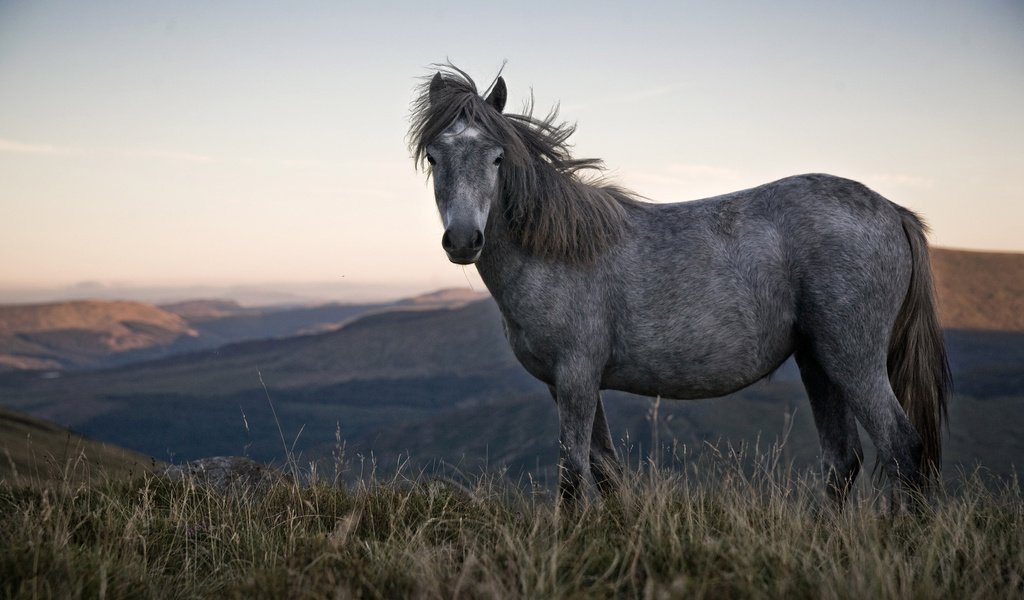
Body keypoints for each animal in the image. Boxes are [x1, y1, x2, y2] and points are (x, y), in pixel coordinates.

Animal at [407, 64, 950, 503]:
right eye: (434, 156)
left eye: (497, 157)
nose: (463, 239)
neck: (557, 251)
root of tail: (894, 212)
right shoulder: (566, 384)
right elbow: (605, 470)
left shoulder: (577, 376)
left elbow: (573, 475)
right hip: (818, 362)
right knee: (843, 460)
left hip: (854, 360)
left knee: (902, 447)